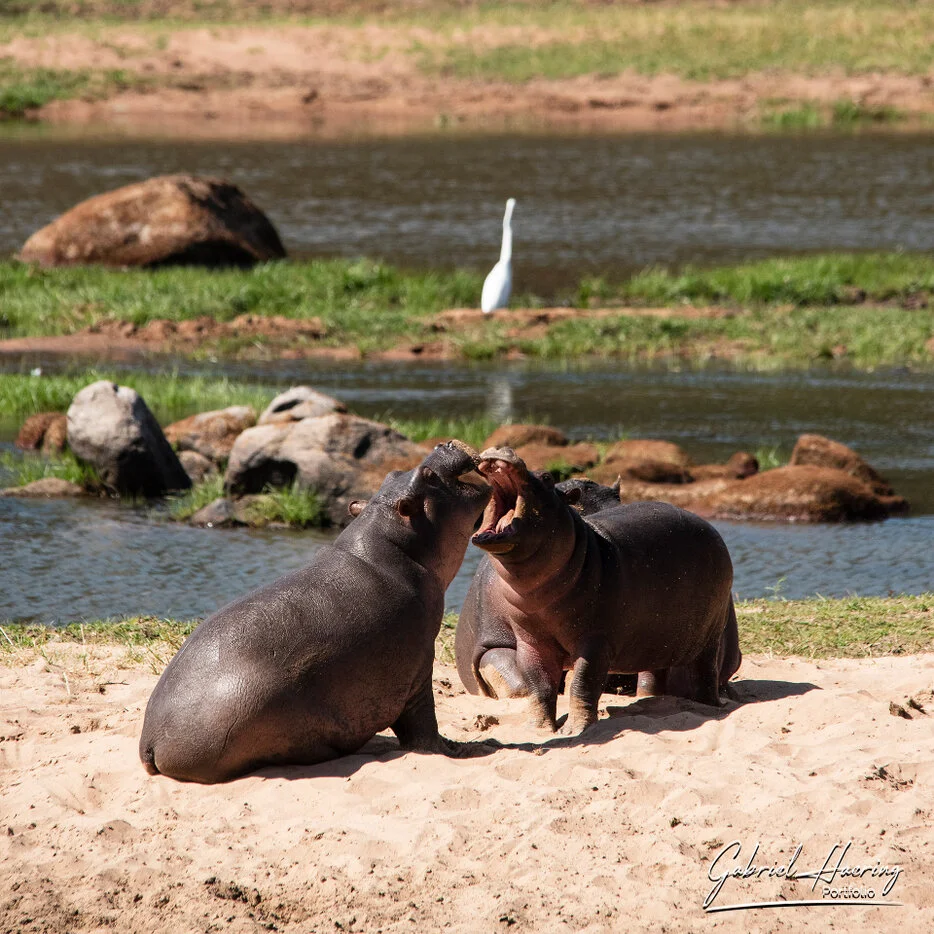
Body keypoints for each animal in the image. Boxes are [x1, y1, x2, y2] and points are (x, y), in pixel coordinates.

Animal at [140, 440, 491, 783]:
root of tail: (149, 742)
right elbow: (424, 729)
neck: (392, 546)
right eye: (428, 475)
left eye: (393, 473)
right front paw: (460, 749)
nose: (444, 443)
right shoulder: (418, 669)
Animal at [455, 447, 741, 734]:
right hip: (659, 638)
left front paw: (575, 730)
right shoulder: (529, 641)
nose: (503, 450)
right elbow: (537, 685)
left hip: (709, 635)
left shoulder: (596, 640)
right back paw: (653, 699)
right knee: (654, 673)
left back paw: (713, 705)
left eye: (547, 477)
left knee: (705, 670)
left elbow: (582, 681)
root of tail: (711, 528)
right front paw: (538, 729)